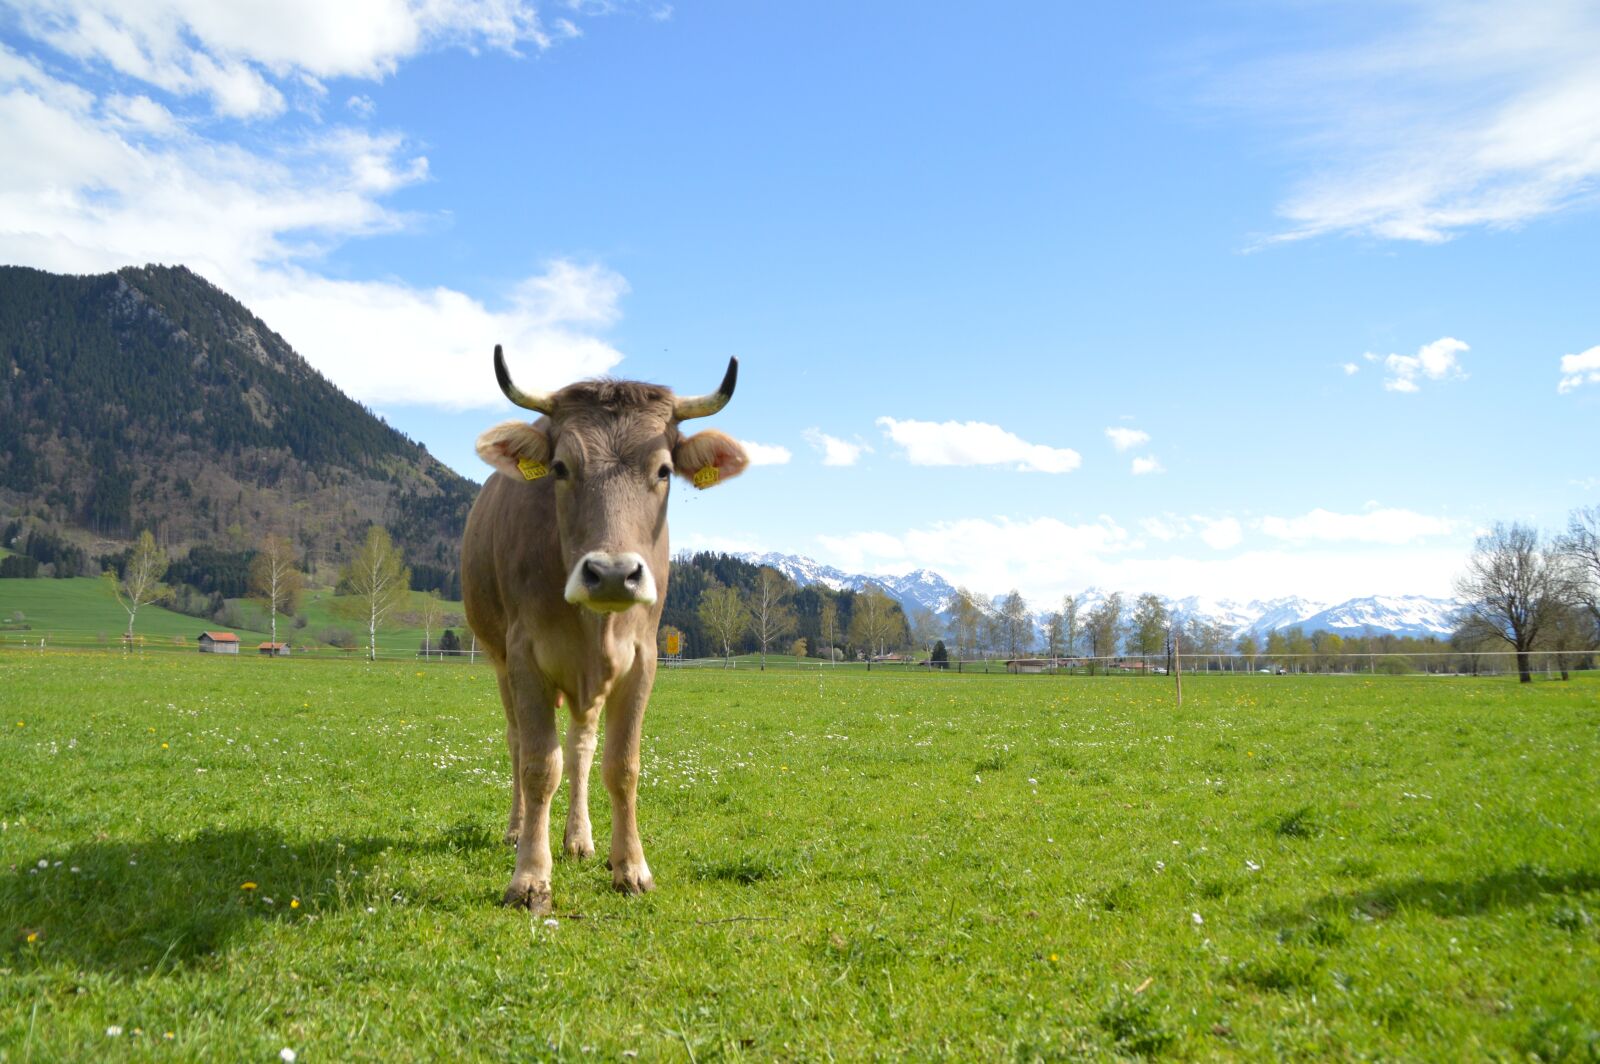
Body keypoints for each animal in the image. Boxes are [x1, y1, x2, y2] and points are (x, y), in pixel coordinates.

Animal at [462, 346, 749, 911]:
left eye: (664, 470)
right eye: (559, 467)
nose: (613, 573)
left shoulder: (642, 659)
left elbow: (621, 764)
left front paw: (631, 867)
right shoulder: (525, 656)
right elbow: (537, 765)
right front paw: (529, 878)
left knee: (580, 748)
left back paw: (578, 837)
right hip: (498, 658)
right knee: (517, 742)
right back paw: (517, 829)